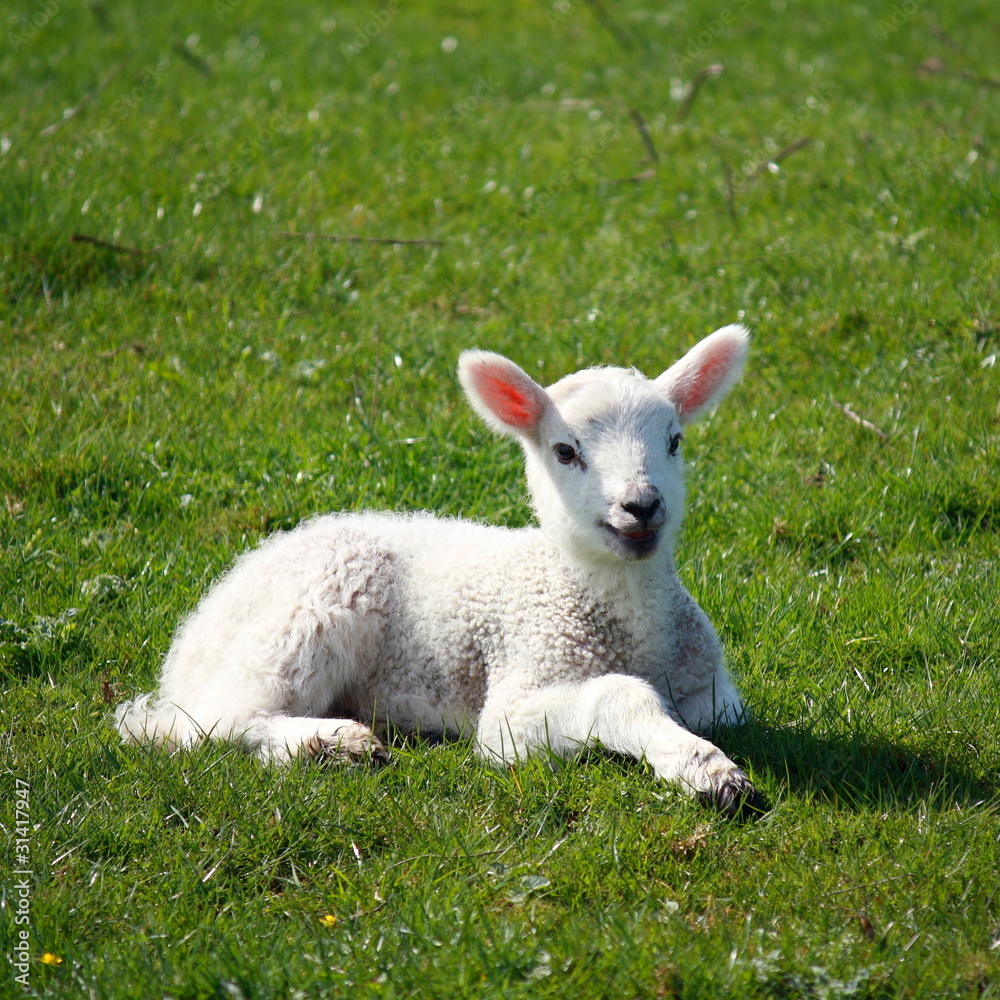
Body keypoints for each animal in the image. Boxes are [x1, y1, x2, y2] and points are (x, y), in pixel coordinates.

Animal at [115, 324, 764, 817]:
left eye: (675, 441)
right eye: (565, 451)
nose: (641, 506)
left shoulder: (714, 694)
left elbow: (715, 713)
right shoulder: (515, 700)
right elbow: (617, 697)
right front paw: (709, 772)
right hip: (303, 617)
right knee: (202, 724)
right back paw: (332, 743)